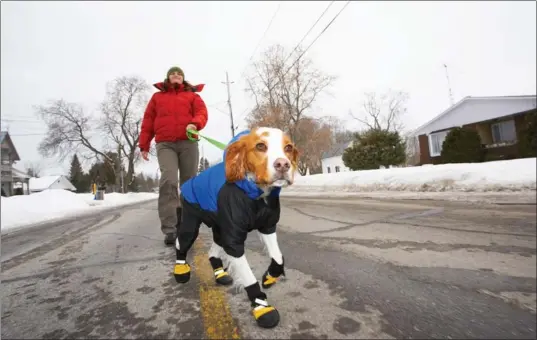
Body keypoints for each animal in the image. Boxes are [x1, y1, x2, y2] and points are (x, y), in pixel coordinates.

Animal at [173, 126, 300, 328]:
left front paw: (269, 276)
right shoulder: (234, 241)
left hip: (219, 230)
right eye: (260, 146)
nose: (283, 164)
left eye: (288, 147)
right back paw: (181, 271)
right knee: (181, 243)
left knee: (212, 252)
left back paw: (219, 274)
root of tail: (187, 183)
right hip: (191, 223)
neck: (256, 195)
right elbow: (248, 278)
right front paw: (262, 307)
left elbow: (278, 258)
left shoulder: (267, 226)